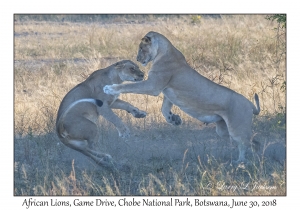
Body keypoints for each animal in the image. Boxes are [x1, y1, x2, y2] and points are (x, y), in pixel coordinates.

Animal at [103, 31, 260, 166]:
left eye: (141, 48)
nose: (137, 59)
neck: (165, 51)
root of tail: (250, 104)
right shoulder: (166, 90)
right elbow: (164, 108)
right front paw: (174, 120)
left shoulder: (153, 85)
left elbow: (129, 86)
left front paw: (110, 88)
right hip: (223, 129)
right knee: (253, 142)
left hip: (236, 127)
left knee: (246, 143)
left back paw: (242, 162)